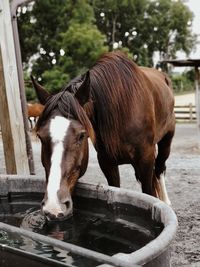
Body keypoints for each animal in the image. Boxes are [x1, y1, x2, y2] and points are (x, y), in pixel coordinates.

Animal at [30, 51, 175, 221]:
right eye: (40, 137)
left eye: (81, 136)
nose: (53, 206)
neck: (122, 110)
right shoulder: (107, 163)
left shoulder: (145, 158)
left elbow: (149, 192)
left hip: (166, 141)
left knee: (159, 168)